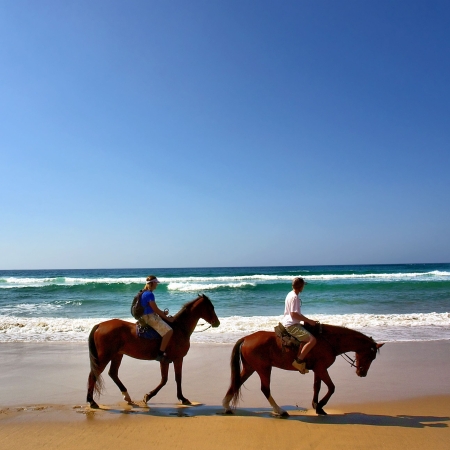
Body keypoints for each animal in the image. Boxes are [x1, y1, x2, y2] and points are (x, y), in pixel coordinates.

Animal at [86, 294, 220, 410]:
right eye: (211, 307)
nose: (217, 322)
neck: (179, 329)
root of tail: (99, 325)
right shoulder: (171, 360)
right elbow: (166, 380)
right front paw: (149, 396)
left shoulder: (175, 359)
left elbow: (176, 378)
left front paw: (181, 398)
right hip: (105, 356)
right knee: (93, 375)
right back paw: (92, 401)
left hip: (117, 355)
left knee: (113, 373)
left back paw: (126, 396)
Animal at [221, 324, 384, 414]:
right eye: (371, 356)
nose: (362, 373)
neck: (329, 341)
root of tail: (246, 338)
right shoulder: (322, 369)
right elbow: (331, 387)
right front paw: (321, 405)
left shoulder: (318, 369)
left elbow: (317, 386)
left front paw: (317, 406)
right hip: (264, 368)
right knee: (265, 389)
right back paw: (279, 411)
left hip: (250, 368)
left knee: (236, 383)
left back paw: (226, 407)